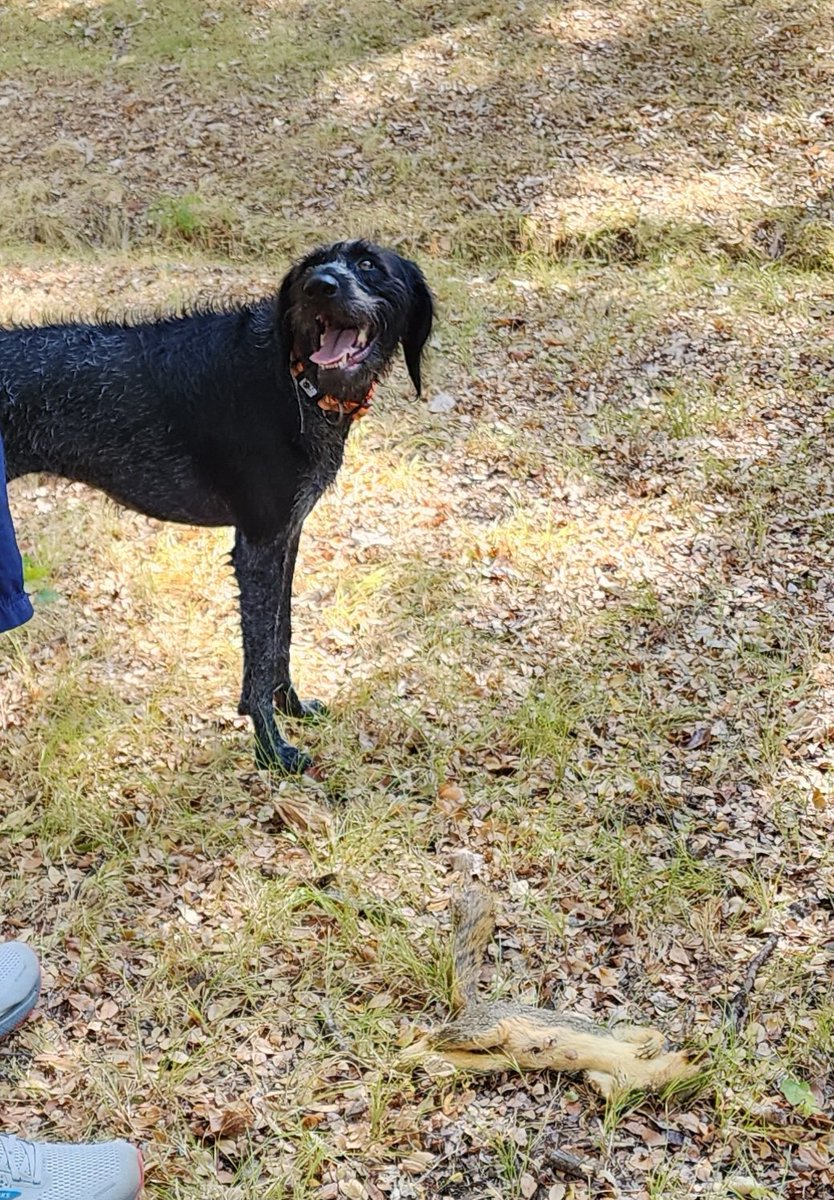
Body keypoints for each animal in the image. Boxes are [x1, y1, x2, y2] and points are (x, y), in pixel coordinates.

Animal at [400, 887, 701, 1098]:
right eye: (700, 1064)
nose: (684, 1095)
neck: (647, 1071)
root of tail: (477, 1008)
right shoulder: (620, 1038)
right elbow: (632, 1031)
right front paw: (654, 1044)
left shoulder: (620, 1080)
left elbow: (608, 1089)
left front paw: (594, 1086)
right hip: (487, 1029)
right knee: (435, 1035)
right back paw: (407, 1050)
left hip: (491, 1060)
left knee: (441, 1051)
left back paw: (411, 1060)